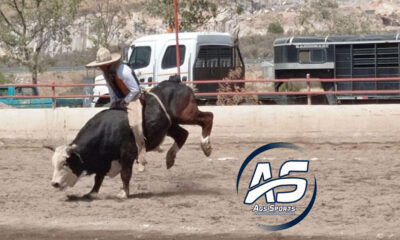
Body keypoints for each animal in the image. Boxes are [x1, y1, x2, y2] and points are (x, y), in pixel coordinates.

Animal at [45, 79, 214, 199]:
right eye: (53, 164)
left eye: (66, 163)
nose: (55, 183)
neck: (107, 129)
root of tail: (178, 84)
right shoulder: (104, 159)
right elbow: (98, 177)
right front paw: (92, 193)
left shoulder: (127, 154)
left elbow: (125, 174)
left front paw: (123, 193)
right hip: (170, 125)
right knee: (183, 134)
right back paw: (170, 158)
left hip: (185, 114)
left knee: (208, 117)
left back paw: (205, 145)